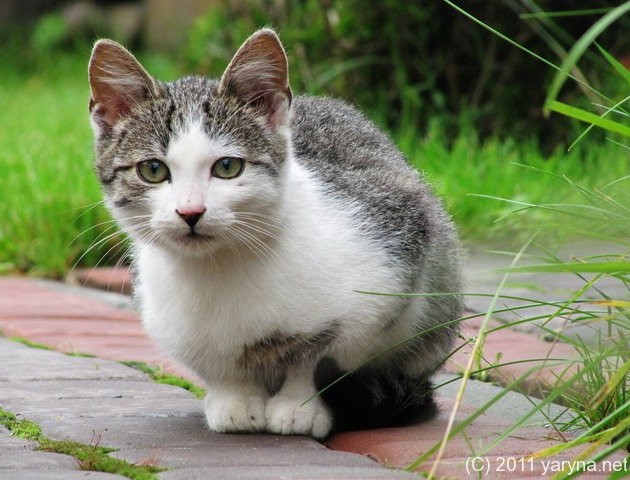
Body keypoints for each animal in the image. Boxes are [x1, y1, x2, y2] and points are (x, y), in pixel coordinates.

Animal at [89, 27, 464, 438]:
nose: (190, 212)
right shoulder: (174, 324)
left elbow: (322, 355)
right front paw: (235, 400)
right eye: (153, 170)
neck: (220, 270)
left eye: (227, 167)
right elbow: (217, 362)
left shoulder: (388, 264)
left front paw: (299, 406)